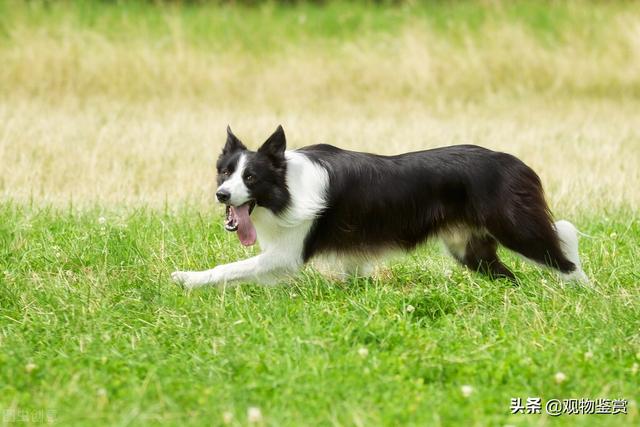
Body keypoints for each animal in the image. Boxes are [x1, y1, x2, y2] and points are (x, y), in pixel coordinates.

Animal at [171, 125, 592, 290]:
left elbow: (230, 267)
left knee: (564, 255)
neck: (285, 185)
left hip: (517, 228)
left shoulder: (287, 255)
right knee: (511, 277)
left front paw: (188, 278)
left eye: (252, 178)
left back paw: (585, 294)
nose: (222, 195)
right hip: (470, 250)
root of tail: (519, 164)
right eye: (225, 172)